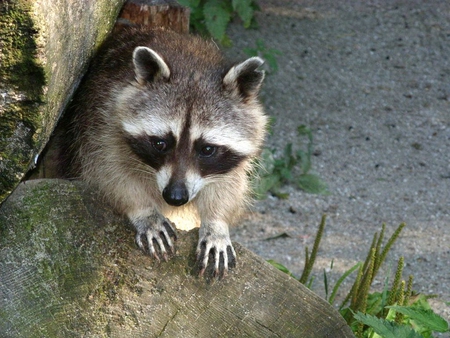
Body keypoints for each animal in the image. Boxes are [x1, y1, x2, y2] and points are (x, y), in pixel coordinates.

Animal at [56, 27, 268, 278]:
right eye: (160, 144)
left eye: (207, 149)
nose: (175, 197)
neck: (193, 65)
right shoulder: (103, 122)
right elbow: (108, 173)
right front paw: (143, 210)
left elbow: (228, 186)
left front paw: (216, 223)